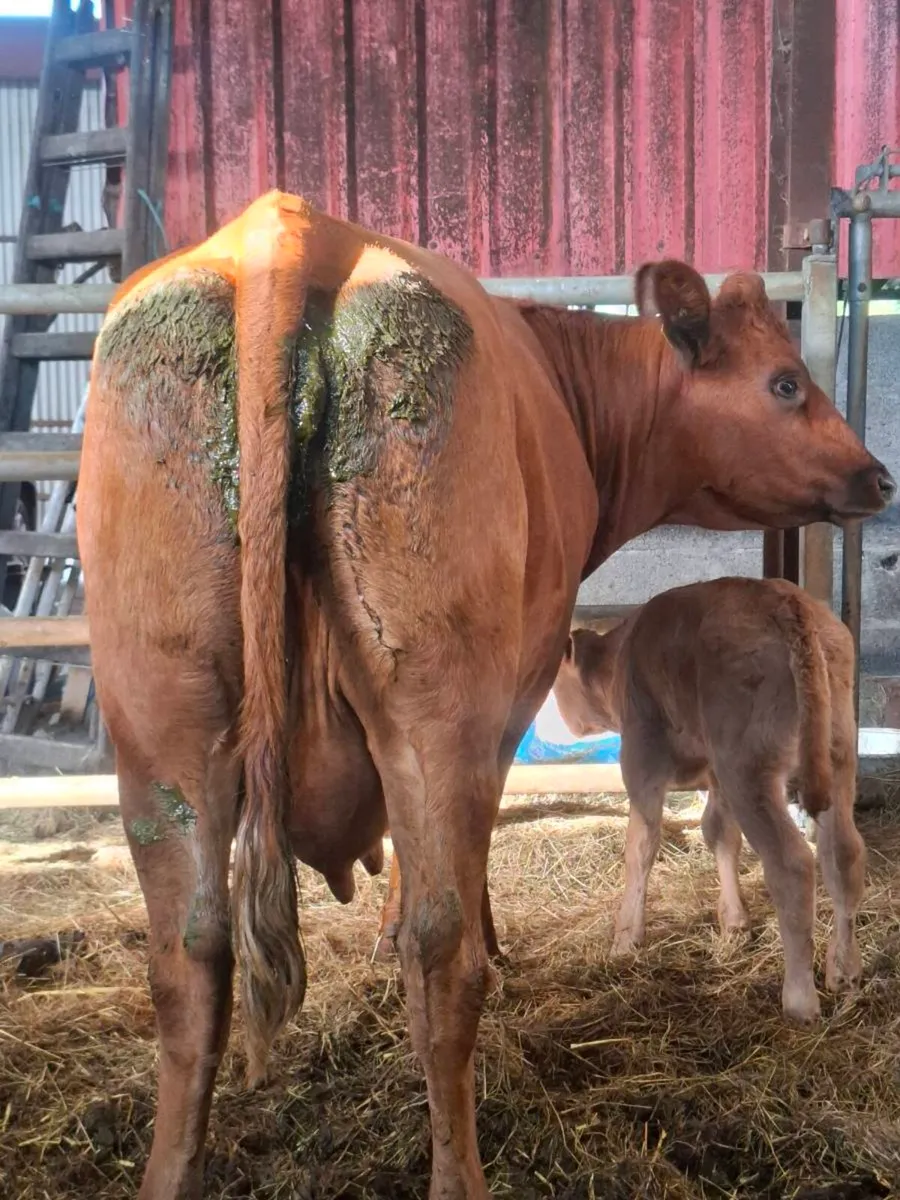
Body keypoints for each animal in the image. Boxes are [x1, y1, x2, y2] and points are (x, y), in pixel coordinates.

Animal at [552, 577, 867, 1025]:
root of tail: (787, 603)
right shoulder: (715, 775)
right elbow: (718, 833)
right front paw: (734, 922)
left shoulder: (643, 758)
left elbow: (641, 846)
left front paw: (626, 938)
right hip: (837, 756)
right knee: (843, 854)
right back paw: (844, 971)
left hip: (748, 767)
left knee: (791, 864)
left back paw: (800, 999)